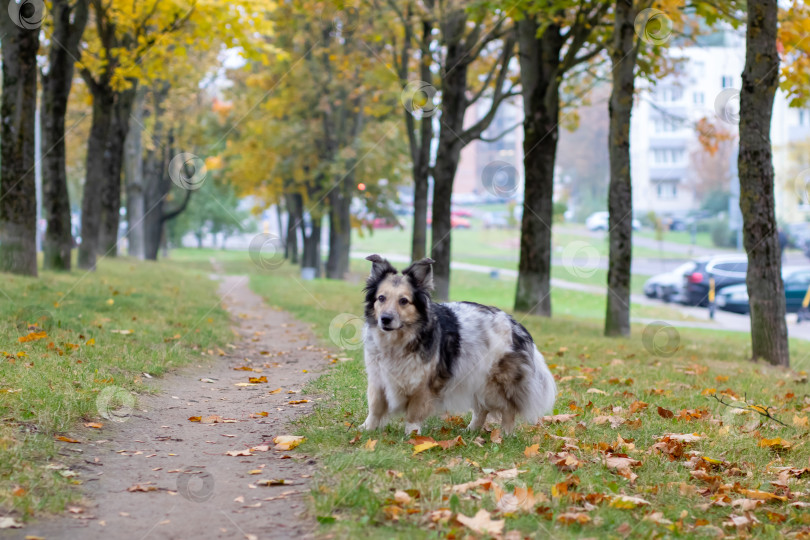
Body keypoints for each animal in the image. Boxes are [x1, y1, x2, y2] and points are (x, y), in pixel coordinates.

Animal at [360, 255, 556, 436]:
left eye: (403, 301)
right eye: (381, 298)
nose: (385, 319)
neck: (398, 341)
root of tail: (517, 326)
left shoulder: (424, 386)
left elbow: (414, 413)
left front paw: (412, 435)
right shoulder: (378, 380)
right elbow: (375, 407)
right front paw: (367, 428)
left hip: (495, 383)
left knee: (507, 409)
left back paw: (505, 435)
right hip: (477, 379)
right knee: (482, 410)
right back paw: (470, 431)